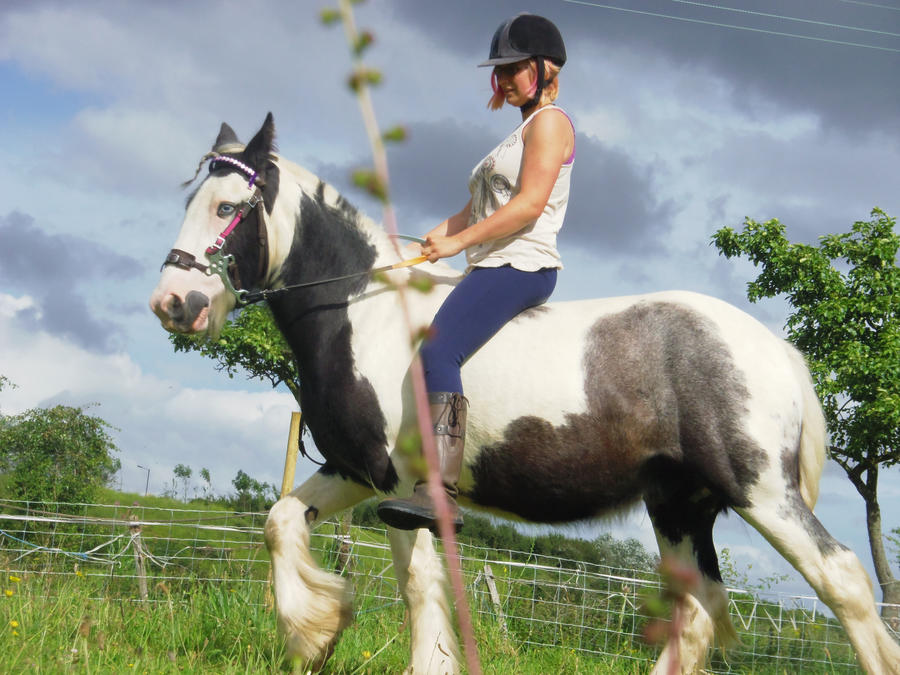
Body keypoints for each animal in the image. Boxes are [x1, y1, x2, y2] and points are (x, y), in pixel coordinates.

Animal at [149, 113, 900, 672]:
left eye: (226, 207)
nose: (173, 303)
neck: (364, 311)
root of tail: (776, 349)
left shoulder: (402, 487)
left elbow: (419, 587)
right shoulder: (356, 470)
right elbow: (280, 522)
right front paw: (315, 632)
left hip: (759, 491)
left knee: (843, 581)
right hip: (680, 505)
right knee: (697, 612)